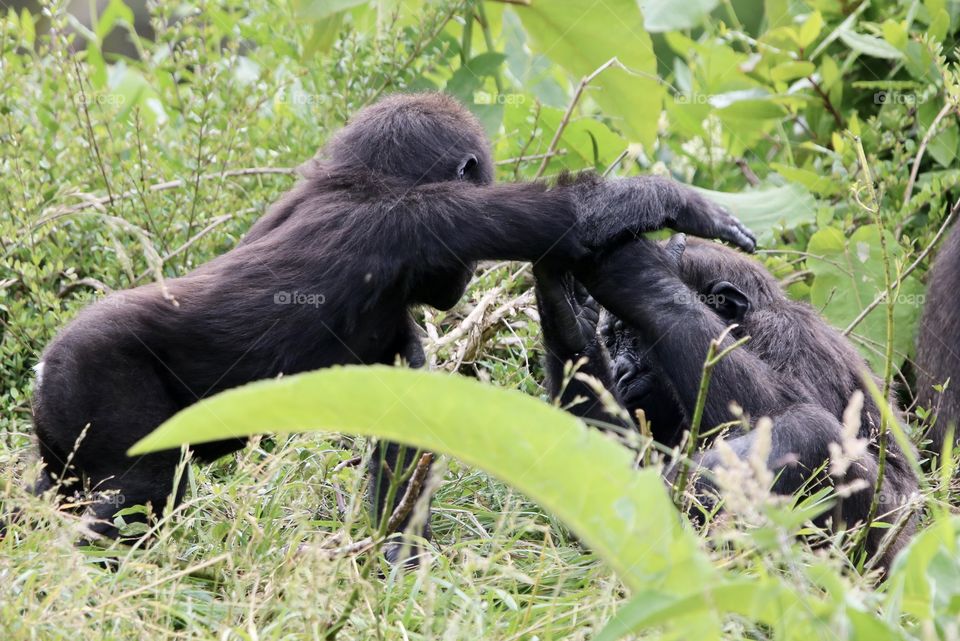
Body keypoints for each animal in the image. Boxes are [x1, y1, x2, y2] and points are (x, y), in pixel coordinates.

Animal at [29, 92, 756, 559]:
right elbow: (570, 215)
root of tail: (44, 361)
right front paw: (670, 200)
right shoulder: (426, 218)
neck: (353, 180)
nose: (463, 282)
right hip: (97, 373)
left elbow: (405, 427)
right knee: (138, 492)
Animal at [534, 235, 918, 568]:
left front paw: (643, 279)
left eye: (633, 332)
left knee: (810, 431)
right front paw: (567, 319)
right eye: (611, 339)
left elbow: (771, 413)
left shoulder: (788, 338)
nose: (620, 369)